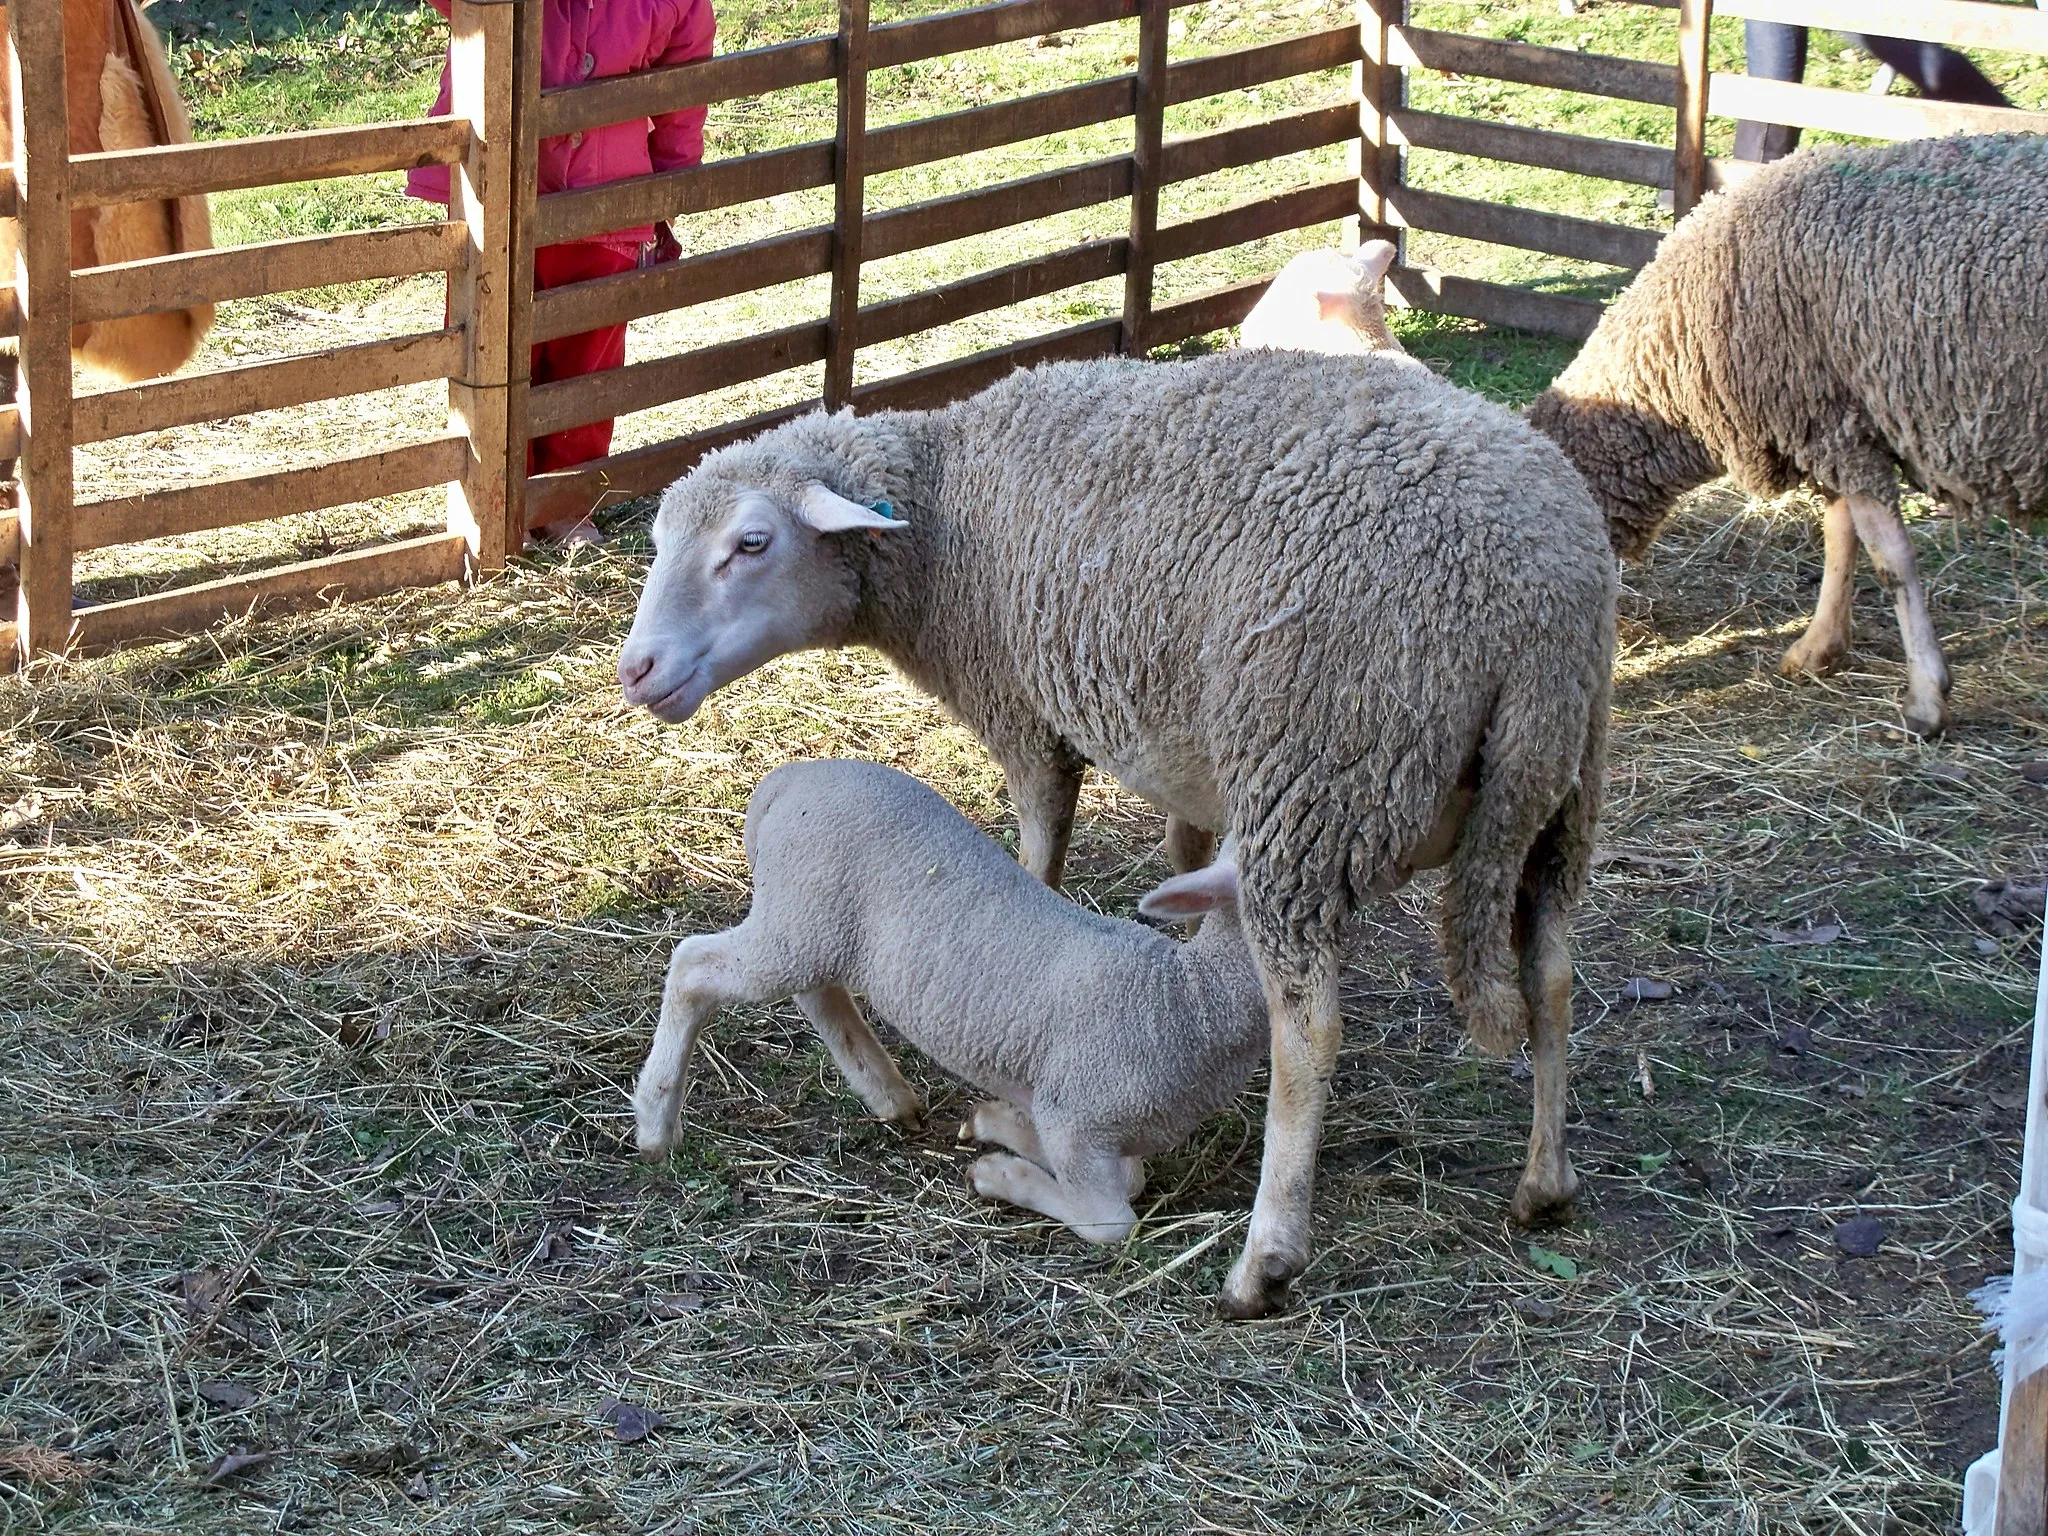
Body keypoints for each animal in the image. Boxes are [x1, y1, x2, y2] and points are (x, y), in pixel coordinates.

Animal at [630, 765, 1261, 1245]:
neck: (1187, 998)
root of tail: (784, 782)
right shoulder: (1075, 1118)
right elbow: (1112, 1219)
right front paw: (1001, 1175)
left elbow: (1127, 1176)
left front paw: (996, 1124)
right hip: (801, 915)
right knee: (693, 968)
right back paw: (657, 1123)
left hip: (812, 926)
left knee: (816, 992)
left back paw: (888, 1094)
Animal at [1531, 129, 2039, 737]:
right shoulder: (1833, 422)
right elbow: (1841, 535)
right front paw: (1819, 648)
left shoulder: (1833, 422)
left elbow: (1890, 560)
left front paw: (1925, 698)